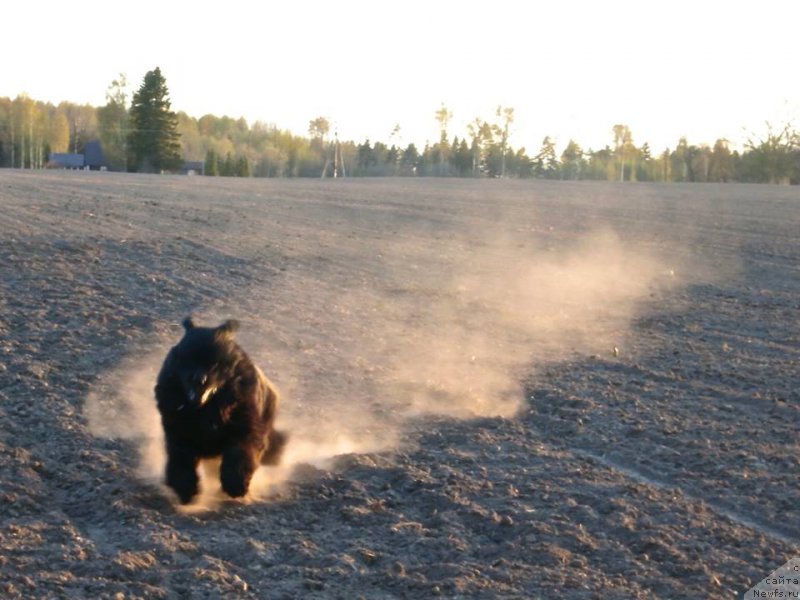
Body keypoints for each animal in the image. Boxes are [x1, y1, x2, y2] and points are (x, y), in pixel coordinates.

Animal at [153, 316, 288, 504]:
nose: (200, 379)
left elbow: (239, 453)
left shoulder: (246, 428)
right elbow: (180, 460)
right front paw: (185, 489)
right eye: (188, 361)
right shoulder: (178, 432)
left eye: (216, 363)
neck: (205, 409)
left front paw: (235, 485)